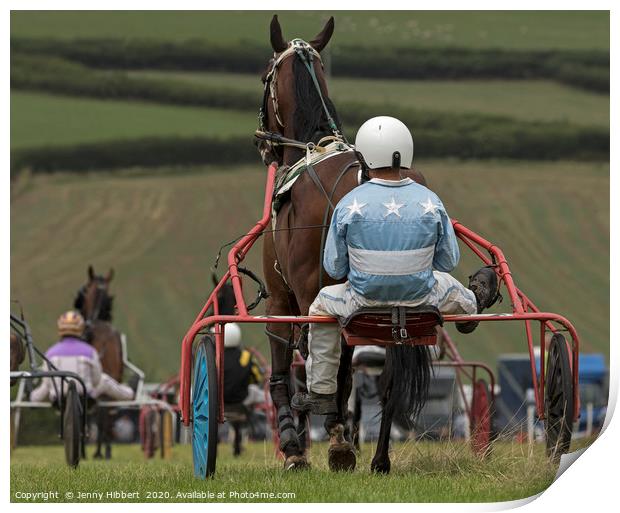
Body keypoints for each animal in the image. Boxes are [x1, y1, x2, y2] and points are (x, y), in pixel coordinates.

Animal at [258, 16, 432, 472]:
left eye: (265, 75)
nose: (263, 142)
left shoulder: (283, 298)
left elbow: (285, 371)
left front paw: (295, 446)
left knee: (329, 369)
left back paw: (336, 441)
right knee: (387, 379)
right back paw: (379, 457)